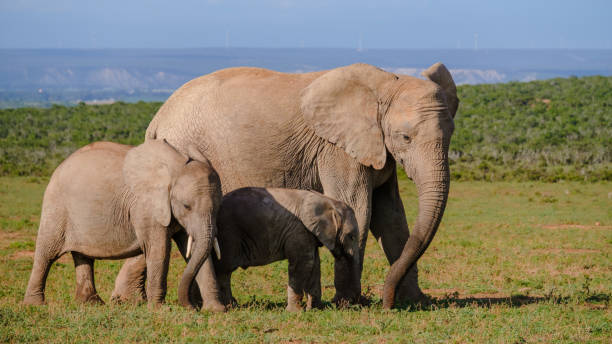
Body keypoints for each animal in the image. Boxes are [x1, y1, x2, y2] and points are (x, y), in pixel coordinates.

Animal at [25, 140, 225, 310]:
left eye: (217, 208)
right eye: (186, 206)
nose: (190, 306)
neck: (175, 166)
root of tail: (59, 166)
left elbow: (197, 250)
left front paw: (215, 310)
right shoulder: (145, 206)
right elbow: (159, 249)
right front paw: (160, 309)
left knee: (83, 256)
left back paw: (91, 304)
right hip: (56, 206)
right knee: (46, 253)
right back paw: (35, 305)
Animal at [210, 188, 360, 312]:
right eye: (351, 236)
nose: (347, 304)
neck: (328, 201)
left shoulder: (308, 233)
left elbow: (314, 264)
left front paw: (316, 309)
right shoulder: (299, 229)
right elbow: (304, 264)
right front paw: (295, 312)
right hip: (228, 234)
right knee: (224, 270)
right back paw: (231, 306)